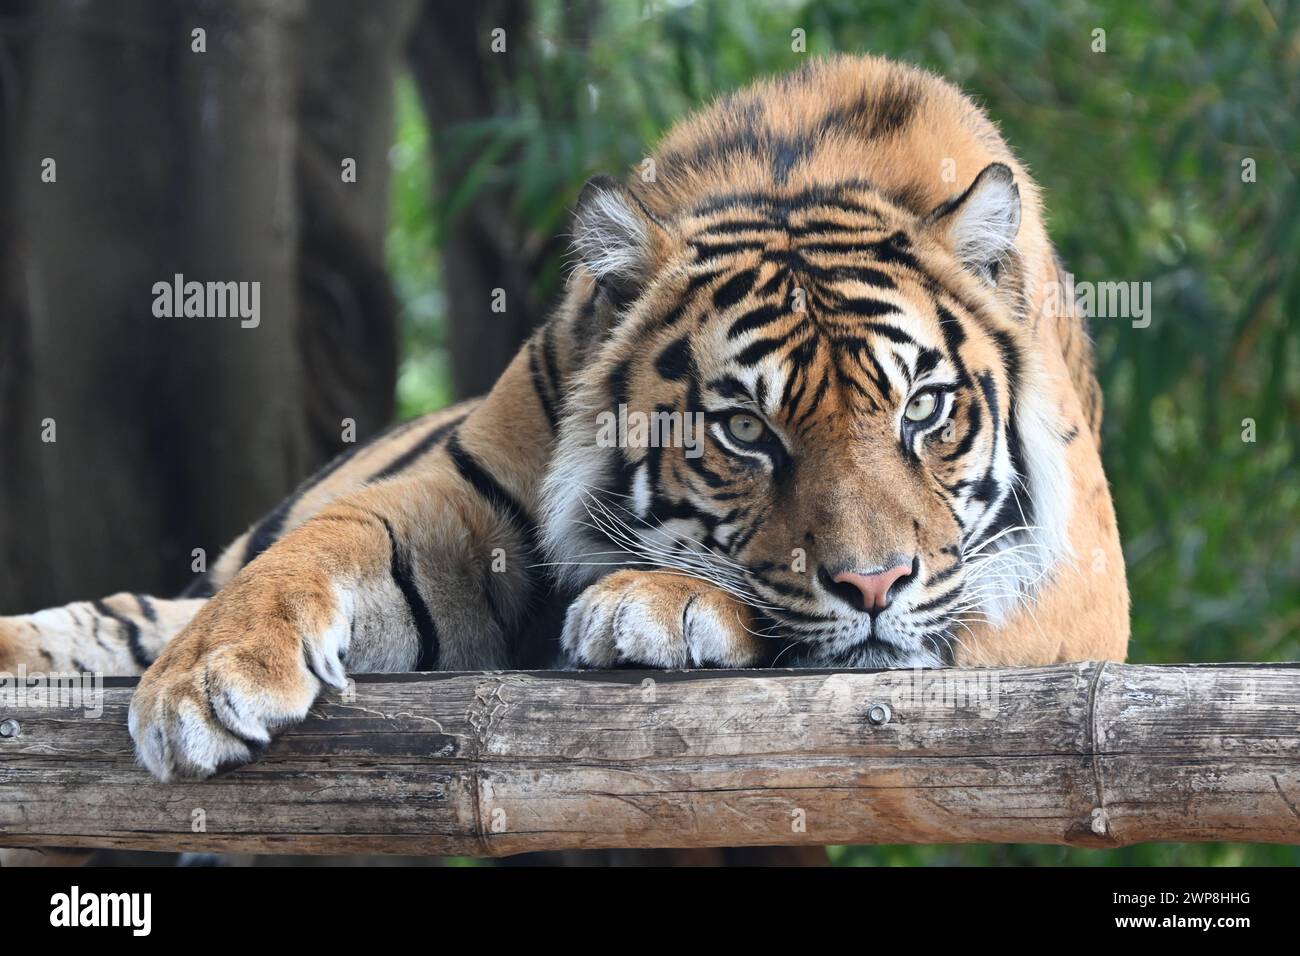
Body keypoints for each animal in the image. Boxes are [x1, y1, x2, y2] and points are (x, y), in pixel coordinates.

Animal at [0, 54, 1128, 785]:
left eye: (923, 410)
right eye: (746, 431)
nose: (874, 584)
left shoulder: (1077, 586)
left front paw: (656, 602)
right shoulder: (462, 492)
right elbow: (329, 541)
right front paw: (207, 681)